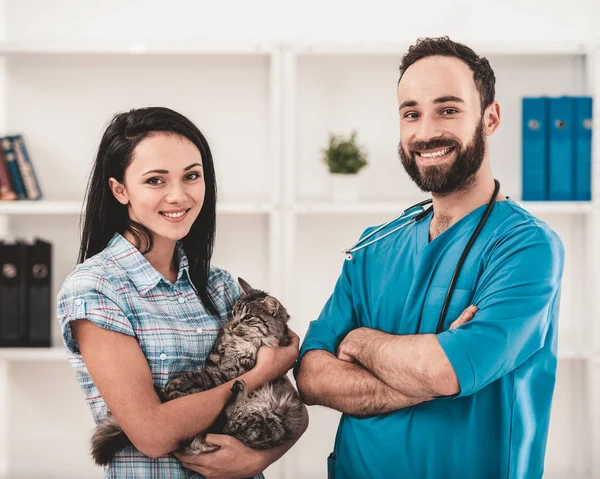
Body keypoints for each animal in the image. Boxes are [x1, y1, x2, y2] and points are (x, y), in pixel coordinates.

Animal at [89, 280, 304, 466]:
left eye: (248, 318)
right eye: (234, 313)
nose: (231, 325)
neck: (238, 343)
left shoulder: (232, 372)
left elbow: (202, 377)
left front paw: (177, 385)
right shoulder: (214, 361)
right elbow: (201, 374)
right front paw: (179, 387)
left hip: (264, 416)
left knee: (226, 423)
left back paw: (233, 391)